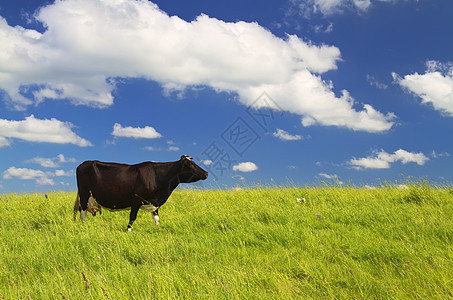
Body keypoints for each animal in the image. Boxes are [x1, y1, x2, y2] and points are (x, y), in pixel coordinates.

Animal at [74, 156, 208, 231]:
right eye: (191, 165)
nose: (206, 173)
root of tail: (83, 163)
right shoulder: (136, 200)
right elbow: (132, 217)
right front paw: (128, 231)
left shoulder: (154, 202)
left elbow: (156, 218)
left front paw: (157, 229)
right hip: (84, 194)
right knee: (82, 213)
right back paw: (84, 226)